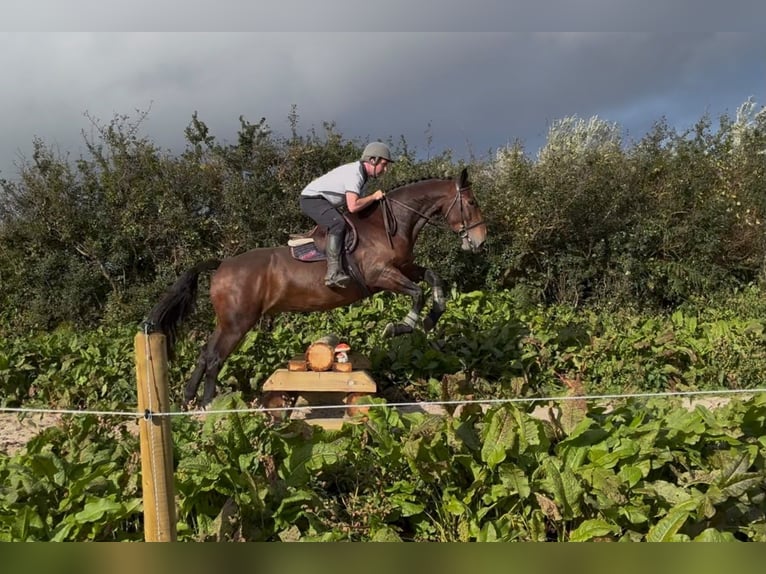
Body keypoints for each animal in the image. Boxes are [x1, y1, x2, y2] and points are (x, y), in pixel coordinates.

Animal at [146, 167, 487, 407]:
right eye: (471, 202)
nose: (480, 242)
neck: (388, 225)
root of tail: (222, 265)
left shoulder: (404, 269)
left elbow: (434, 280)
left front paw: (431, 318)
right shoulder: (382, 276)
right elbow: (417, 294)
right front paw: (400, 326)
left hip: (228, 321)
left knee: (205, 355)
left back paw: (188, 403)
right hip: (238, 322)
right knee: (215, 357)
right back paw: (208, 407)